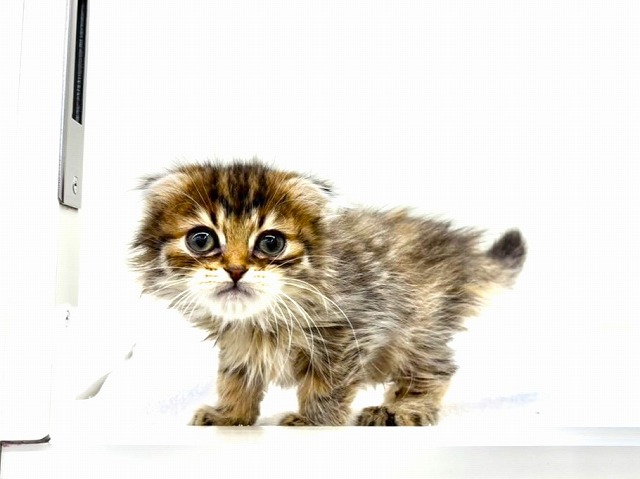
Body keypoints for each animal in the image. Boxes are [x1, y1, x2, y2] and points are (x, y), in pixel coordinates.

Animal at [131, 159, 526, 426]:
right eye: (202, 240)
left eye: (270, 243)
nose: (237, 270)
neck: (263, 317)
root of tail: (462, 248)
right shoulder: (239, 343)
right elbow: (235, 378)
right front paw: (231, 415)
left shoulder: (354, 328)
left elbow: (326, 383)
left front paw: (313, 420)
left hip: (420, 326)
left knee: (435, 369)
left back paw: (400, 410)